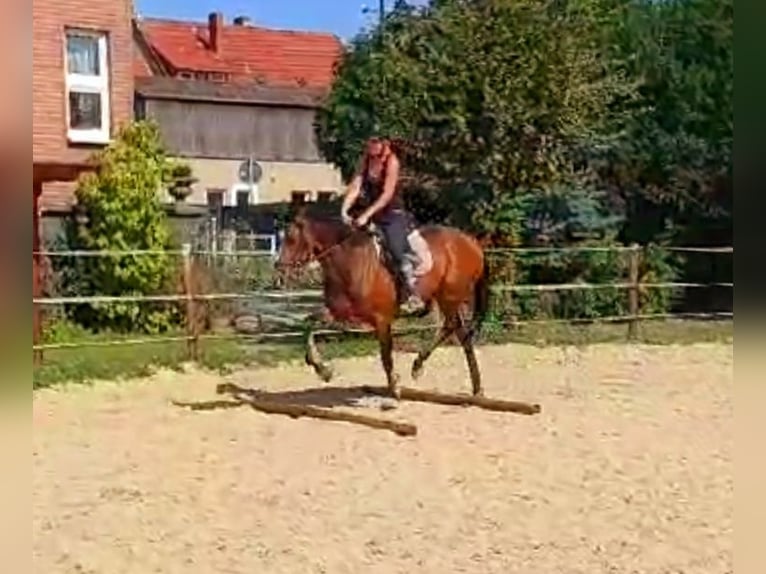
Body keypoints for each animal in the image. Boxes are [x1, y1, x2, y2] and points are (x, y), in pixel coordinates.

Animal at [276, 207, 492, 400]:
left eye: (291, 239)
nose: (279, 269)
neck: (350, 262)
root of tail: (472, 242)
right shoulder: (337, 312)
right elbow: (308, 325)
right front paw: (322, 369)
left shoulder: (381, 319)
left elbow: (386, 356)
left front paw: (395, 387)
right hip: (445, 298)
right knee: (456, 331)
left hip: (450, 297)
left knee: (456, 329)